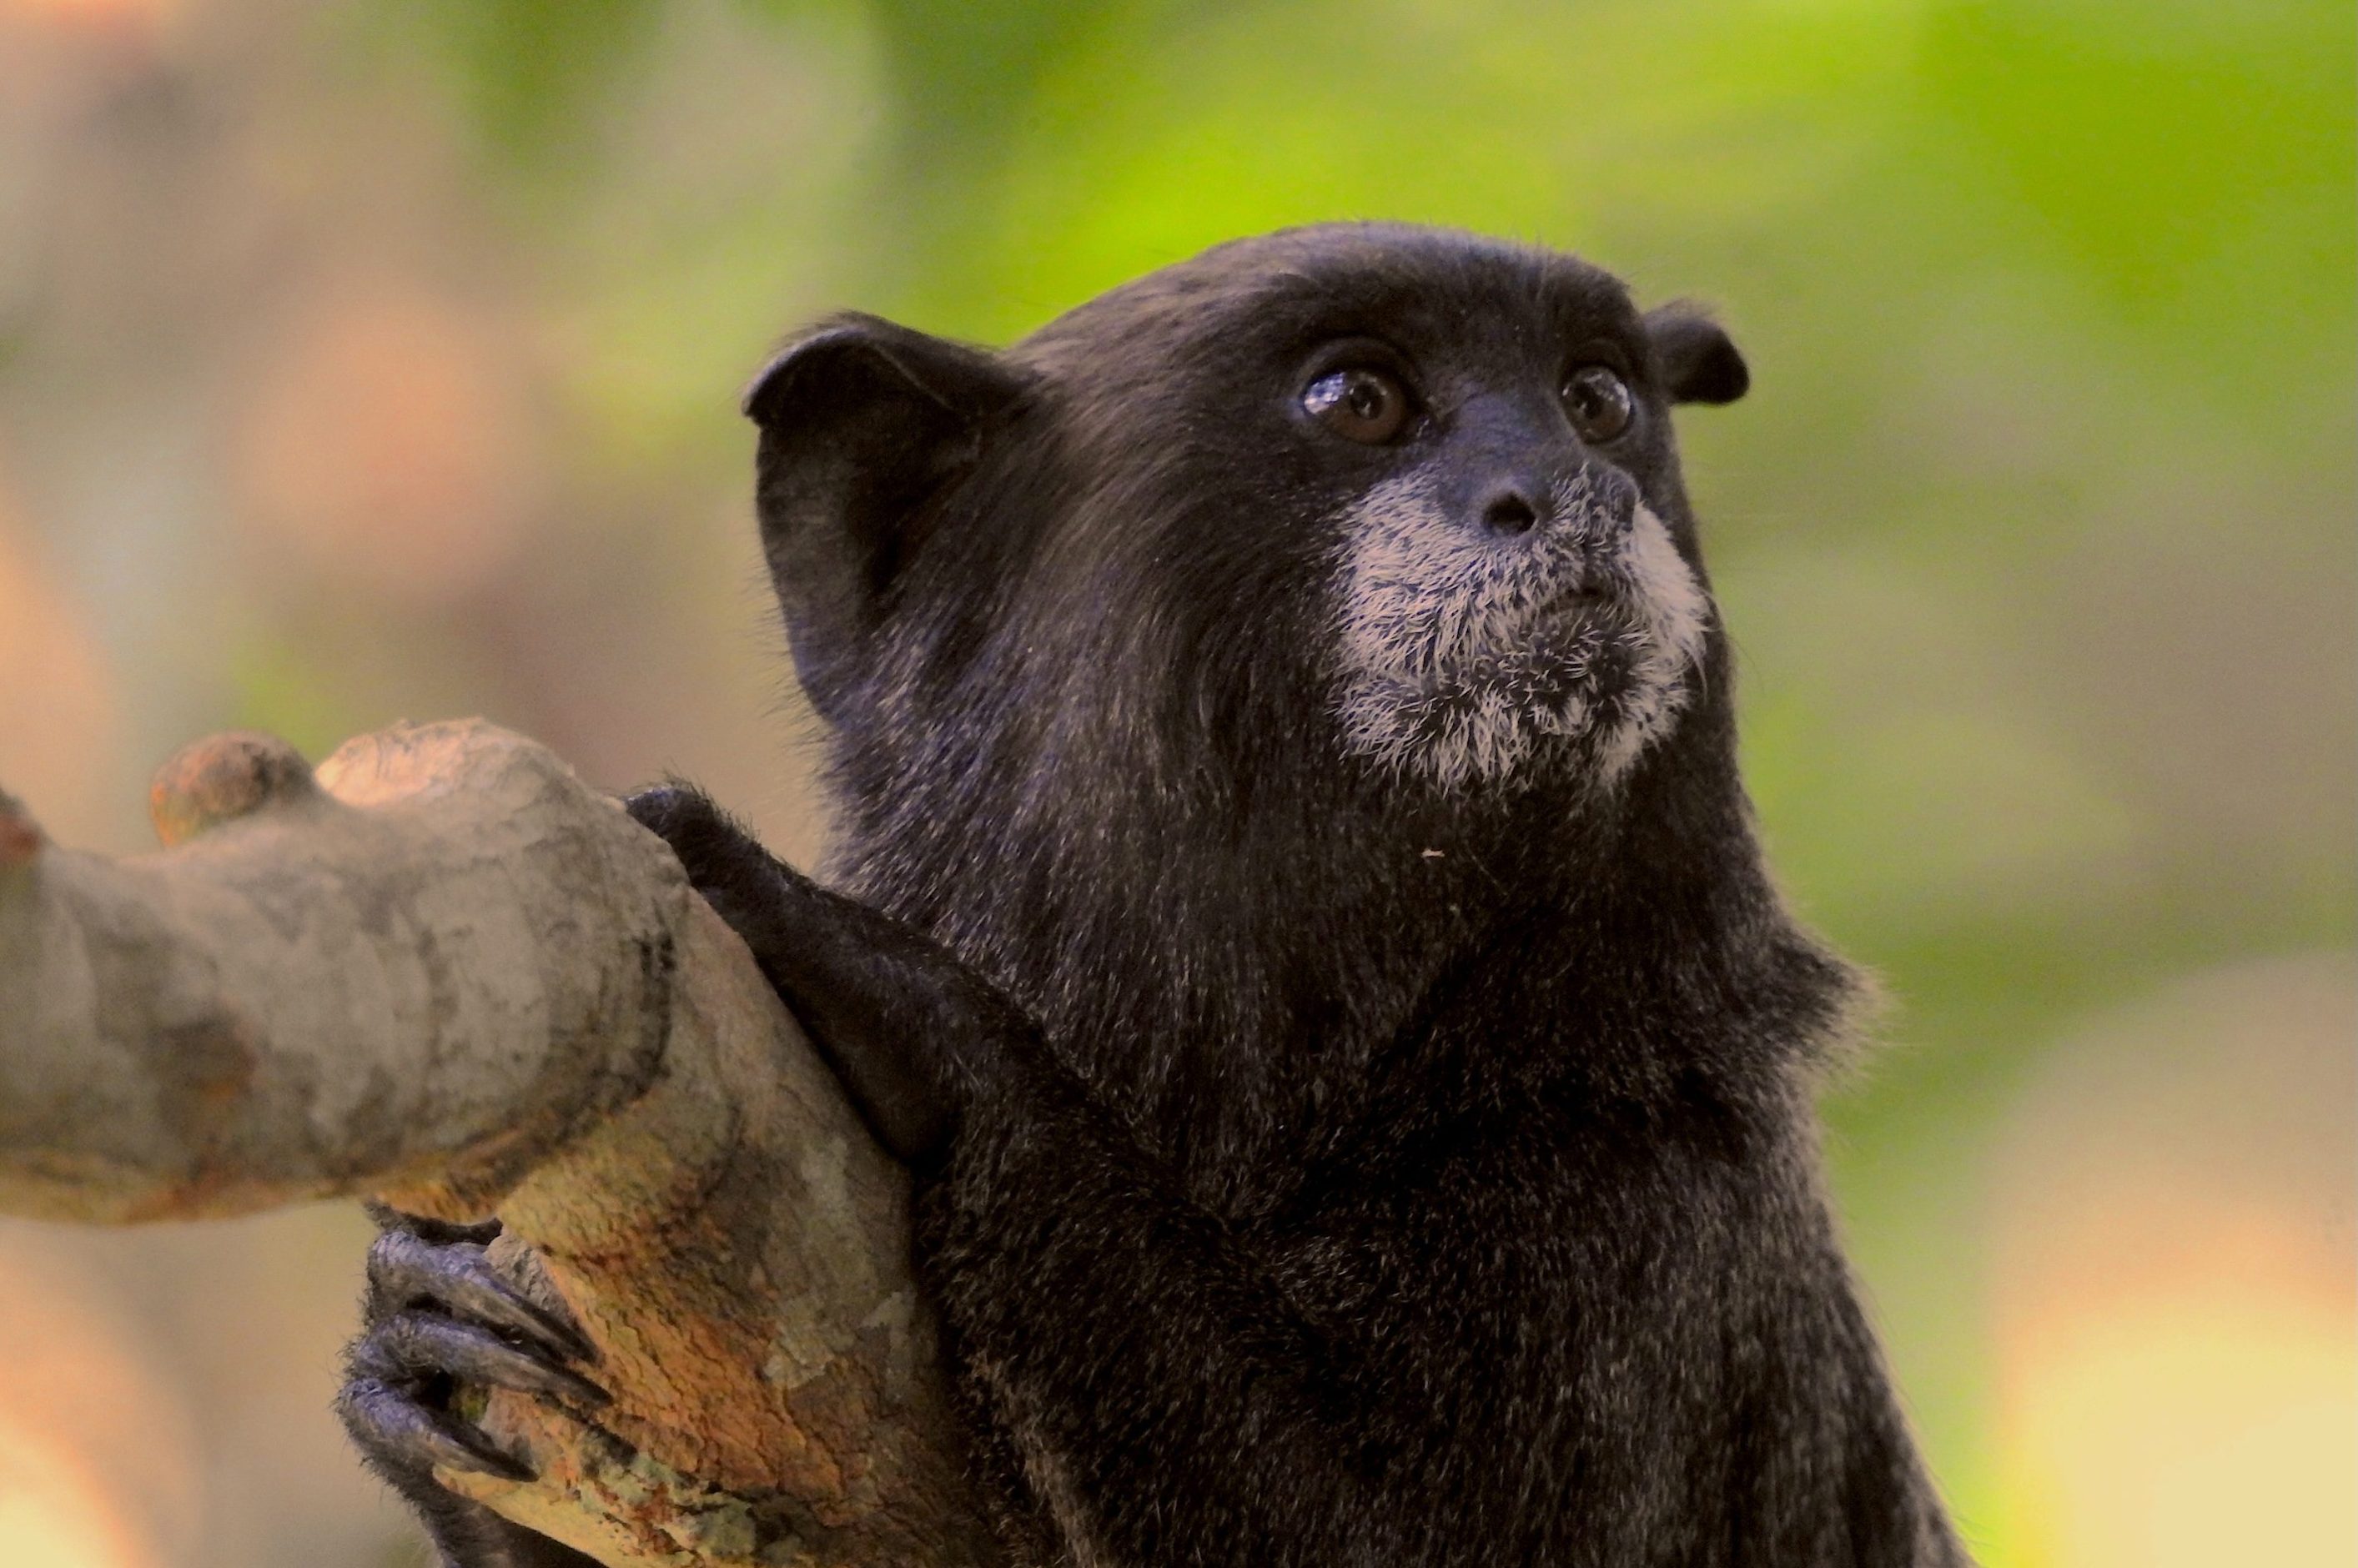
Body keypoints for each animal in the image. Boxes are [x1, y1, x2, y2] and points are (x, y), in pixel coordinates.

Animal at [338, 222, 1968, 1567]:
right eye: (1356, 401)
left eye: (1595, 402)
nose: (1570, 493)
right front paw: (414, 1321)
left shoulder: (1654, 1203)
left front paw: (899, 1003)